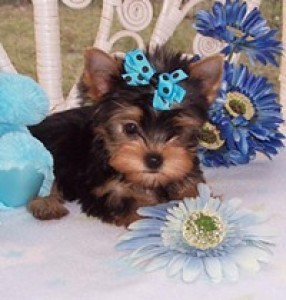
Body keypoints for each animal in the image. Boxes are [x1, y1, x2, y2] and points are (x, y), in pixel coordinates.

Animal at [28, 46, 223, 225]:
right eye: (130, 128)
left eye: (176, 130)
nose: (154, 160)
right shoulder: (105, 190)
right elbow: (132, 205)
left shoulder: (187, 173)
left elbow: (194, 190)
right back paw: (47, 205)